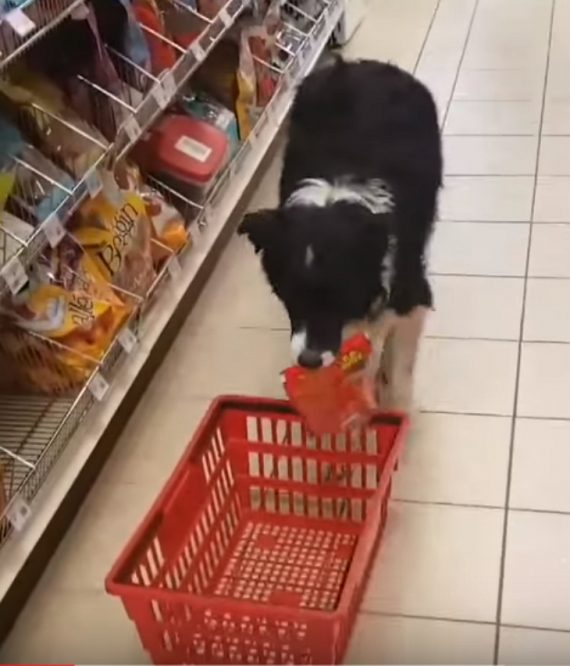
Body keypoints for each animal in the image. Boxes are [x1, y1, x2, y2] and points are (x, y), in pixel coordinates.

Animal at [237, 57, 442, 410]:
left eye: (338, 296)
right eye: (289, 296)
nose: (308, 362)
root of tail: (363, 64)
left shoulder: (411, 295)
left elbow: (400, 371)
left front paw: (395, 407)